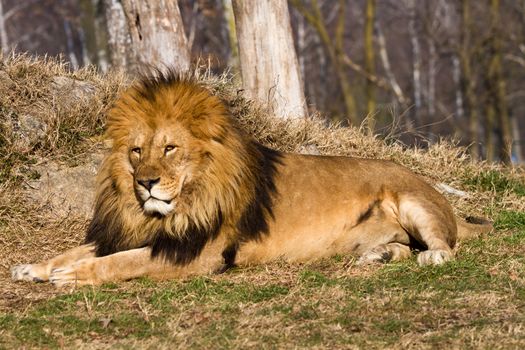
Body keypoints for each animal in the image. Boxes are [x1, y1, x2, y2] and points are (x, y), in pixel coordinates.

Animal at [10, 72, 492, 288]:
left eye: (170, 149)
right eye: (136, 151)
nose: (145, 183)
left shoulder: (197, 254)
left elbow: (118, 263)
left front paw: (70, 276)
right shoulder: (138, 232)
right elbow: (83, 249)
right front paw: (36, 266)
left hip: (414, 202)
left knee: (443, 245)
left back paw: (431, 256)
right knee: (401, 246)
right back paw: (380, 255)